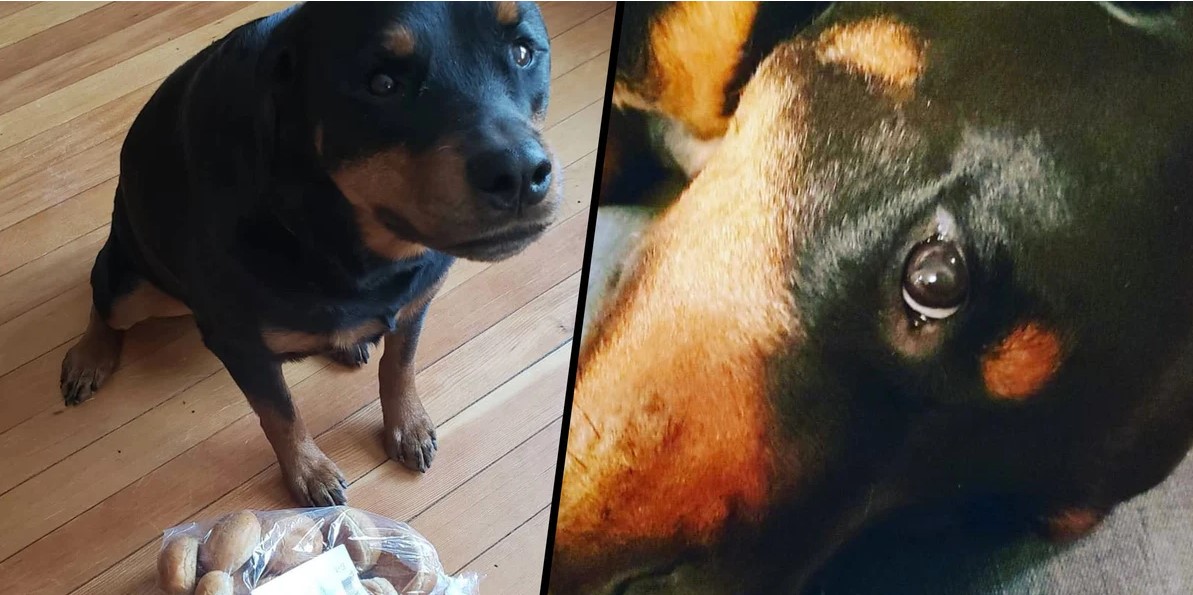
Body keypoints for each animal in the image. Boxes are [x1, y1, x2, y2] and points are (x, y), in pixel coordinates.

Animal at [58, 2, 555, 510]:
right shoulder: (239, 344)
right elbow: (280, 413)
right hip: (135, 283)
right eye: (382, 84)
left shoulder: (416, 301)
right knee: (103, 299)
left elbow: (400, 366)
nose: (519, 173)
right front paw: (308, 471)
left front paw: (408, 426)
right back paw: (88, 358)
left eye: (523, 52)